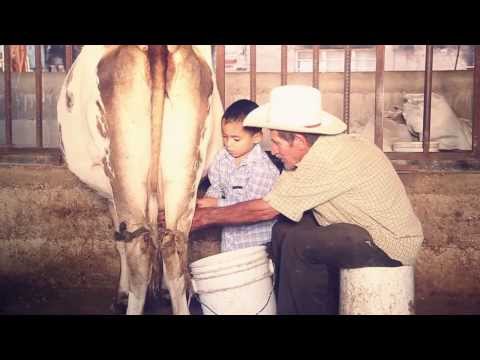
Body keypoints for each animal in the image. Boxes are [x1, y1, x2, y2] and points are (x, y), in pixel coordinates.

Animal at [57, 45, 225, 316]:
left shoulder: (111, 197)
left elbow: (119, 241)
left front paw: (122, 294)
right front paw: (163, 291)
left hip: (123, 171)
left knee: (139, 248)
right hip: (184, 173)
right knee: (173, 242)